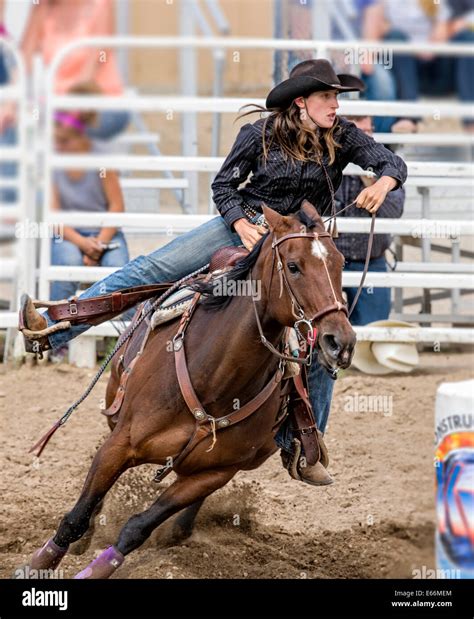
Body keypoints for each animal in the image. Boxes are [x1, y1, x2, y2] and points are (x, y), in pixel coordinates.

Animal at [22, 201, 356, 580]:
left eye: (340, 264)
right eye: (295, 266)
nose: (340, 342)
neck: (216, 382)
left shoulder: (215, 473)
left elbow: (137, 527)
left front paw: (98, 569)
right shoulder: (121, 444)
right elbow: (76, 517)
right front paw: (37, 565)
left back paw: (178, 531)